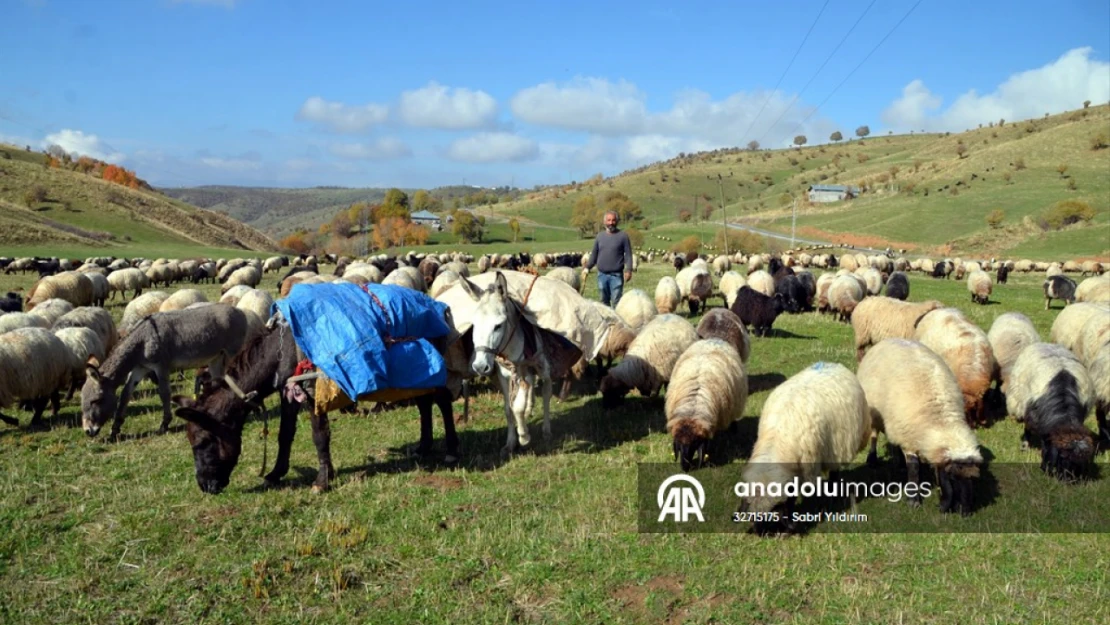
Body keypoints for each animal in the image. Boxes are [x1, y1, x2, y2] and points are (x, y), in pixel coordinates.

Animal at [741, 361, 870, 532]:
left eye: (774, 513)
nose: (765, 534)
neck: (777, 439)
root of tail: (832, 363)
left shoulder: (804, 468)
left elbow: (792, 496)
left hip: (837, 446)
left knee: (834, 472)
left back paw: (832, 495)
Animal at [856, 339, 981, 515]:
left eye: (973, 480)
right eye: (953, 477)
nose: (965, 513)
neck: (940, 420)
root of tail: (888, 339)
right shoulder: (909, 441)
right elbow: (914, 470)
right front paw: (913, 500)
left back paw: (899, 462)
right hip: (874, 412)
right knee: (874, 434)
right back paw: (872, 459)